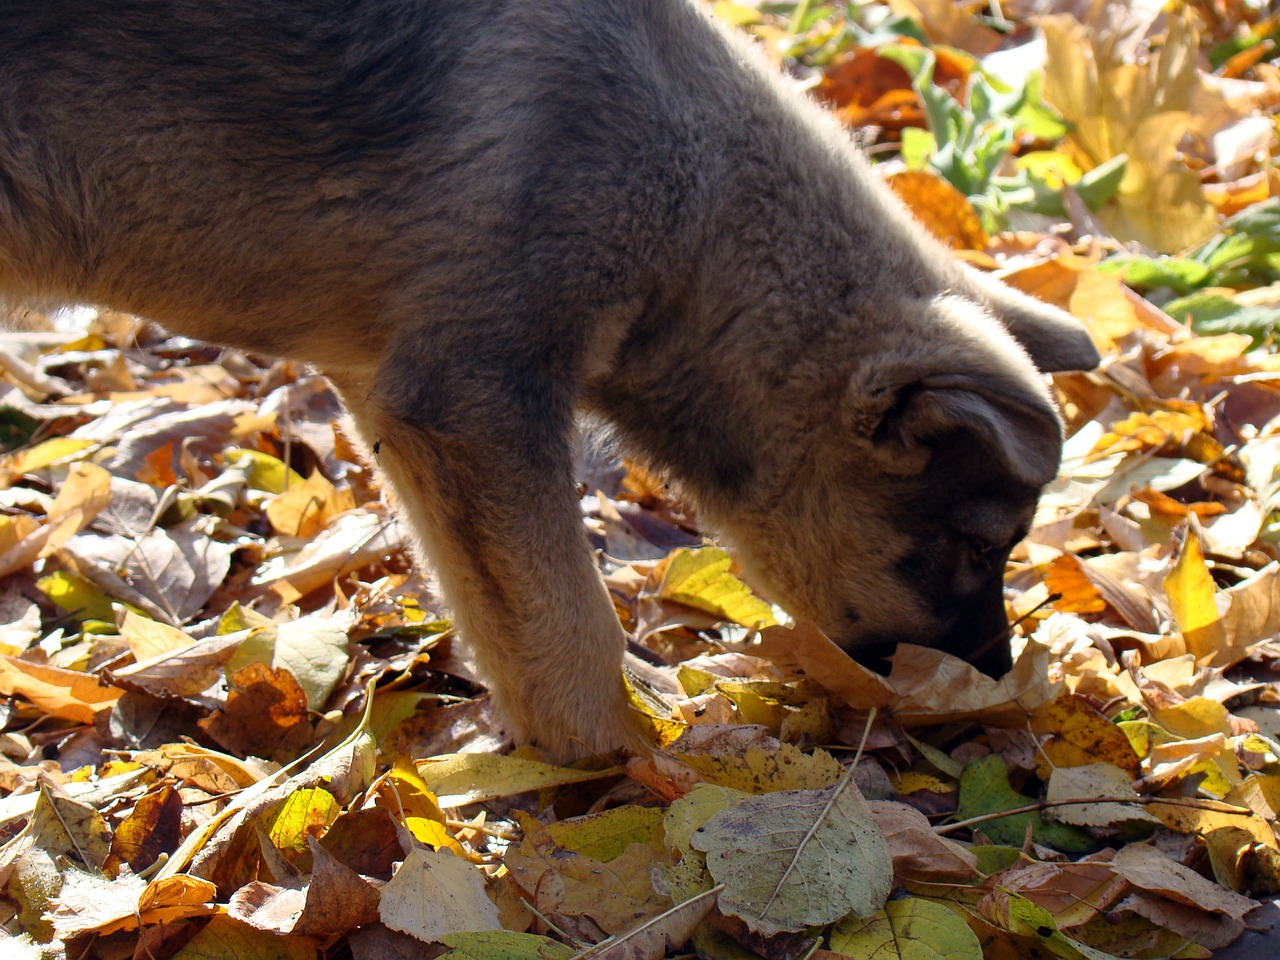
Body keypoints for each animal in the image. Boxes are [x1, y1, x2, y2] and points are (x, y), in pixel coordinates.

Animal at [0, 0, 1100, 757]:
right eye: (975, 545)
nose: (989, 699)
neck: (696, 212)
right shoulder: (477, 398)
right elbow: (573, 629)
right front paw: (619, 774)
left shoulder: (406, 405)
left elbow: (512, 628)